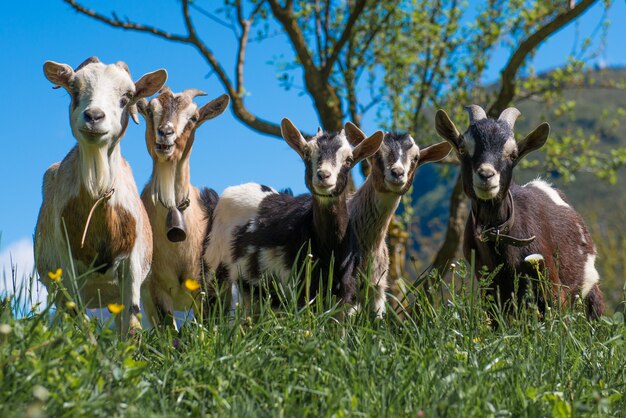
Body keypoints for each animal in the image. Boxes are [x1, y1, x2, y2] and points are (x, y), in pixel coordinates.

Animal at [33, 57, 166, 334]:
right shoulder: (67, 268)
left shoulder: (133, 267)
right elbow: (80, 324)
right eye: (74, 88)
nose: (94, 116)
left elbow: (132, 324)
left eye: (127, 96)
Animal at [204, 119, 380, 312]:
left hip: (252, 289)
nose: (324, 175)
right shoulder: (302, 291)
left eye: (349, 160)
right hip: (215, 267)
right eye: (307, 153)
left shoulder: (346, 296)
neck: (330, 251)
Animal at [432, 104, 604, 316]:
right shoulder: (490, 290)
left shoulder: (553, 290)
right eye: (463, 149)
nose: (486, 175)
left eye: (513, 155)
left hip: (589, 288)